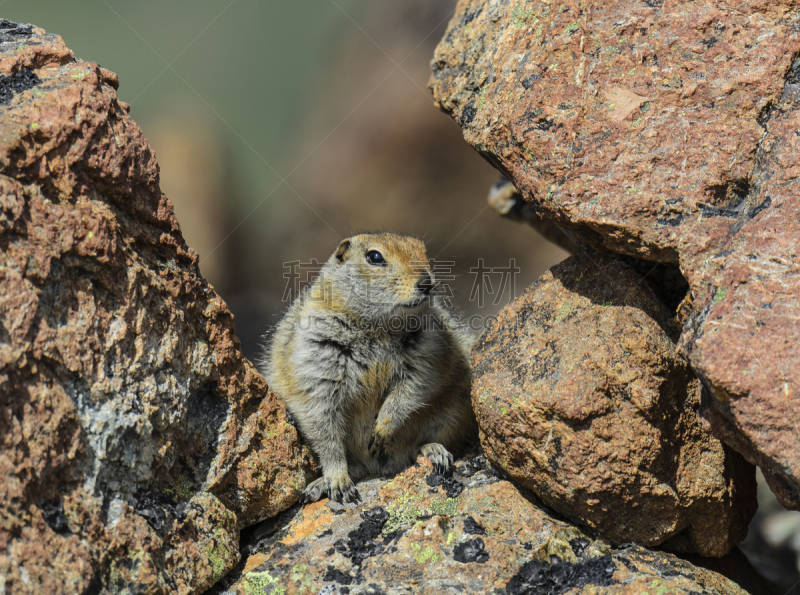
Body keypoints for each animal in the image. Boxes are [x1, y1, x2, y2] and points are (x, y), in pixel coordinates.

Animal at [262, 233, 478, 502]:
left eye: (423, 251)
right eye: (374, 257)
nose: (427, 283)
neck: (378, 328)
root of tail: (375, 468)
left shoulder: (427, 353)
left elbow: (411, 391)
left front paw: (381, 431)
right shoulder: (316, 362)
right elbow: (324, 428)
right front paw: (337, 480)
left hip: (453, 413)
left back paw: (433, 450)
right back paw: (319, 485)